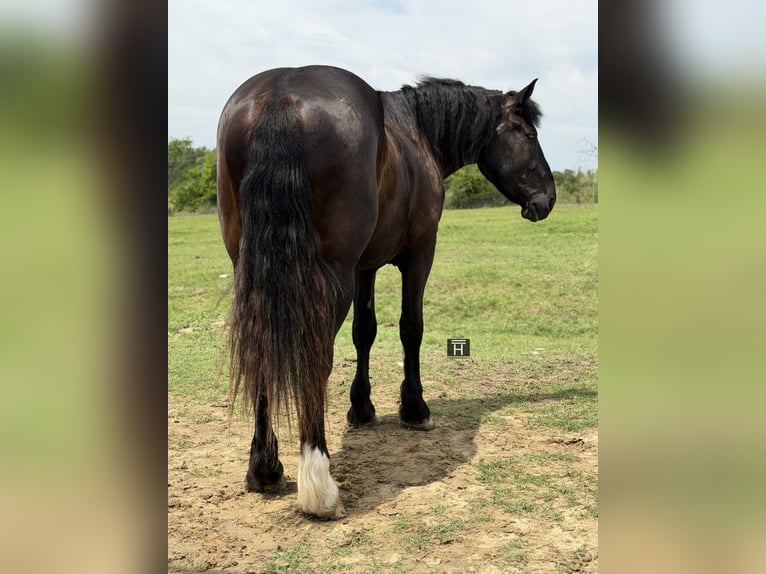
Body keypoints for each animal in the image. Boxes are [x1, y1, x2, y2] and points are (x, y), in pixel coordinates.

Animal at [216, 65, 555, 518]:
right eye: (529, 135)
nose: (548, 198)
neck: (417, 132)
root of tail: (281, 95)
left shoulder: (365, 267)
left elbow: (365, 331)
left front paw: (362, 408)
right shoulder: (419, 254)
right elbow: (411, 327)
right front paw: (414, 408)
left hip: (254, 273)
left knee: (262, 349)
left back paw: (264, 468)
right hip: (330, 277)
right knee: (314, 357)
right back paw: (318, 483)